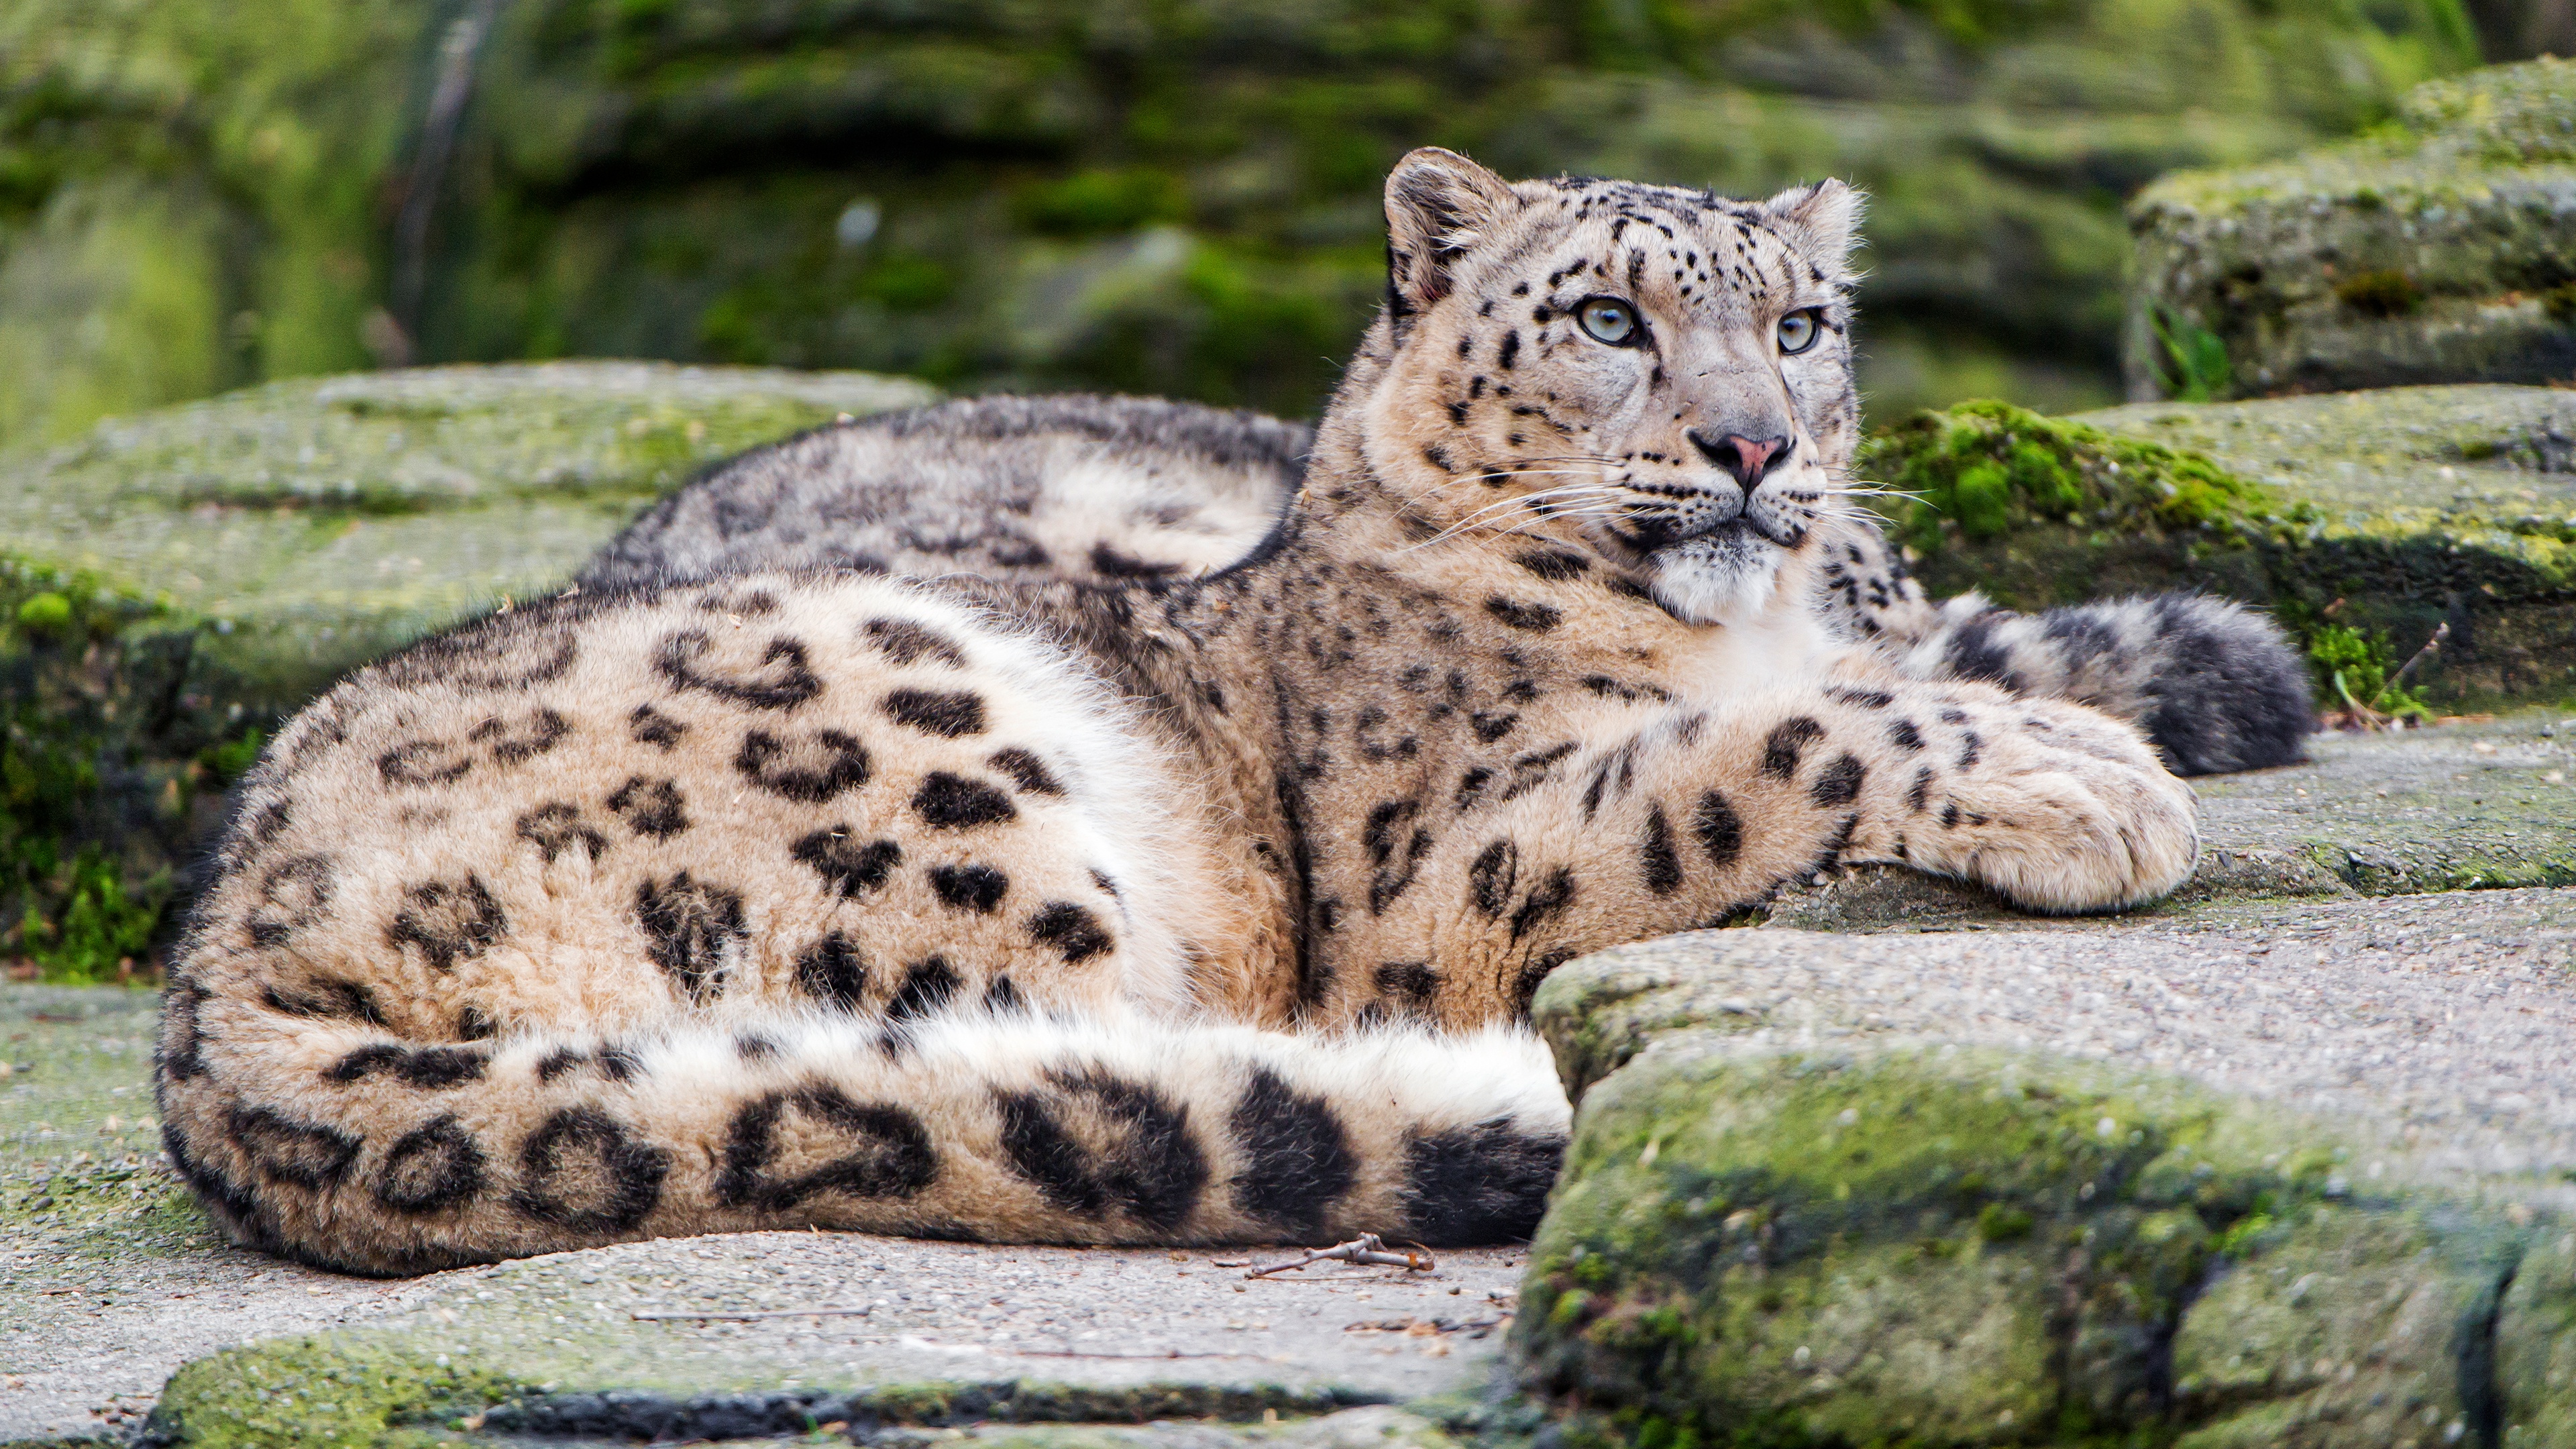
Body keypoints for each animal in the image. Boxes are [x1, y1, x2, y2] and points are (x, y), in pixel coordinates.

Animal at [160, 148, 2212, 1276]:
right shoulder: (1439, 882)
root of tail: (213, 972)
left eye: (1799, 326)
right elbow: (1755, 752)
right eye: (1607, 322)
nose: (1755, 447)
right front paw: (2087, 779)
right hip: (928, 754)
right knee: (1071, 1064)